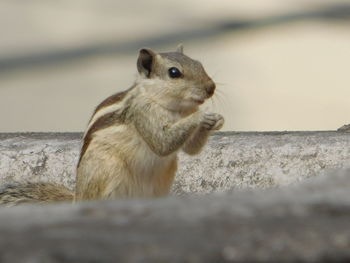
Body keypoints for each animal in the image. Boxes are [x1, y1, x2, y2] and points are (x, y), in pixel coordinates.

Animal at [0, 44, 224, 206]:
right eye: (174, 73)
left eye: (199, 63)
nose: (211, 88)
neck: (175, 108)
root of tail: (77, 198)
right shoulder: (141, 113)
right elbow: (162, 143)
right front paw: (203, 115)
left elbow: (191, 149)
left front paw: (215, 120)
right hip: (107, 168)